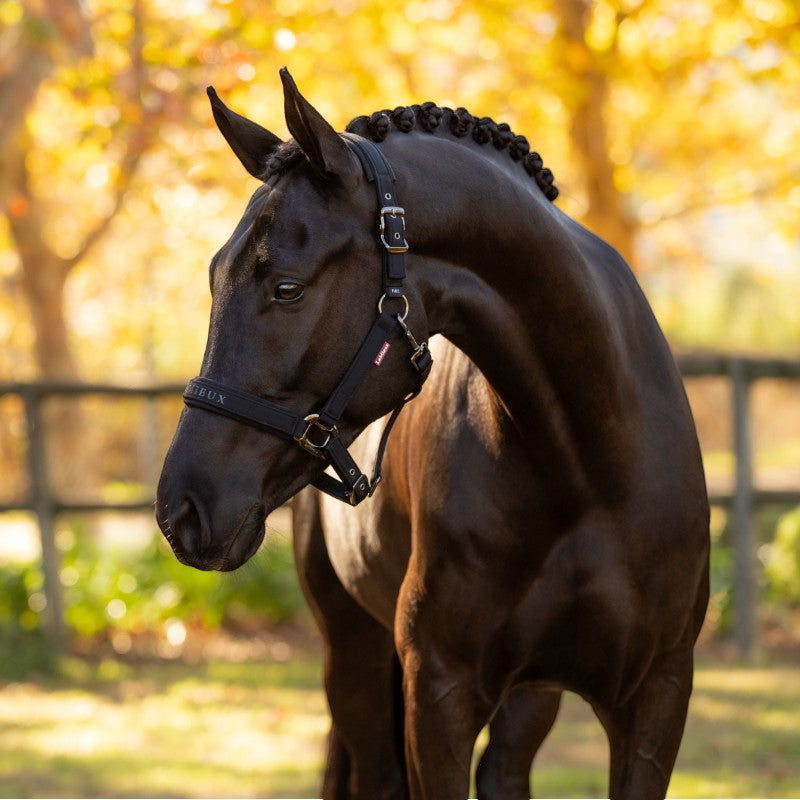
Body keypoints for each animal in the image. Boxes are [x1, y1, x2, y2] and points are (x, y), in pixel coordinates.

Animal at [156, 68, 710, 800]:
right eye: (216, 276)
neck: (589, 469)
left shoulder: (655, 698)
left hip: (529, 694)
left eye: (287, 288)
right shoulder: (439, 695)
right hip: (353, 658)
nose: (182, 509)